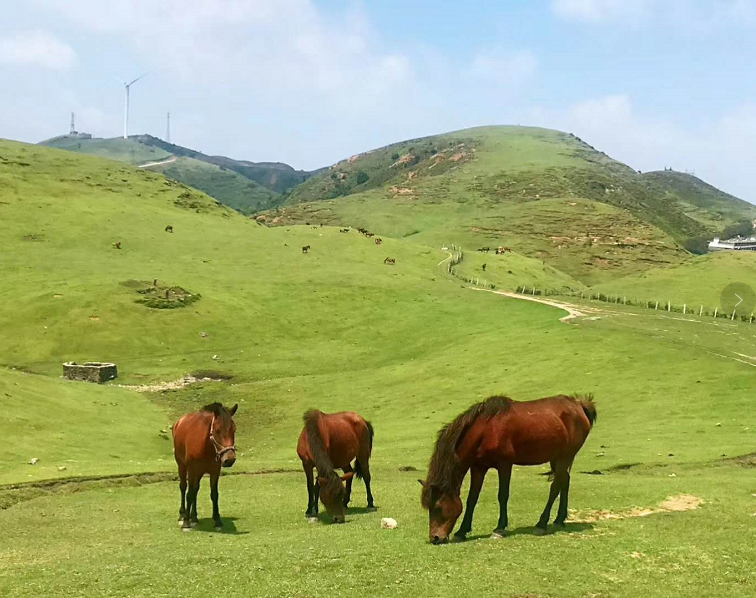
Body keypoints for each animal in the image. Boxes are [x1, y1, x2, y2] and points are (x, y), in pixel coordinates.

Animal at [420, 396, 596, 548]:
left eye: (438, 507)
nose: (435, 538)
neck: (486, 429)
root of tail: (579, 405)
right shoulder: (478, 467)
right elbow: (472, 499)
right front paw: (462, 531)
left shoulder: (504, 465)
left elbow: (502, 495)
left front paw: (499, 529)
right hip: (557, 458)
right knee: (564, 481)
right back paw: (559, 519)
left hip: (566, 456)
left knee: (555, 486)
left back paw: (542, 523)